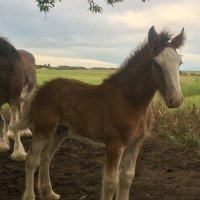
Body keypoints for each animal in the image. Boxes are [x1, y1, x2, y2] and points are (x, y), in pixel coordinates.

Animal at [12, 26, 185, 200]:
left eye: (180, 62)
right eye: (156, 63)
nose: (176, 100)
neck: (130, 101)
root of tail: (42, 89)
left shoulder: (135, 143)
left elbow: (127, 178)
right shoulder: (114, 143)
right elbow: (110, 183)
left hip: (61, 131)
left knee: (46, 157)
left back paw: (48, 192)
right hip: (44, 129)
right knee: (32, 160)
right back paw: (30, 195)